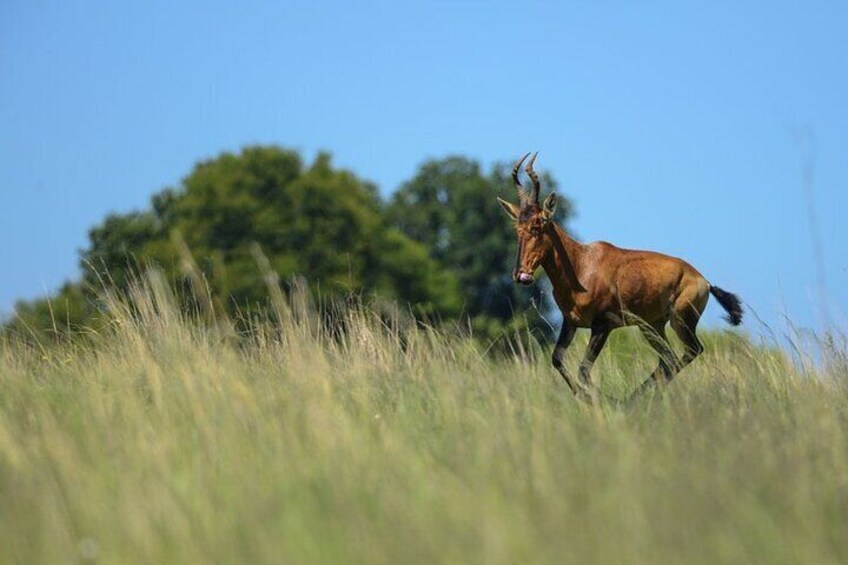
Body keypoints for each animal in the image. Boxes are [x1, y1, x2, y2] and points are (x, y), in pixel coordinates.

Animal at [496, 153, 744, 400]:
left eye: (538, 226)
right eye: (518, 228)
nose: (521, 274)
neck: (581, 264)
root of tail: (704, 280)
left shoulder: (603, 326)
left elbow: (583, 370)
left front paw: (601, 399)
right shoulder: (571, 322)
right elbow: (557, 360)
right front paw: (586, 397)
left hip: (680, 322)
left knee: (691, 351)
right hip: (652, 326)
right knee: (668, 359)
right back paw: (635, 398)